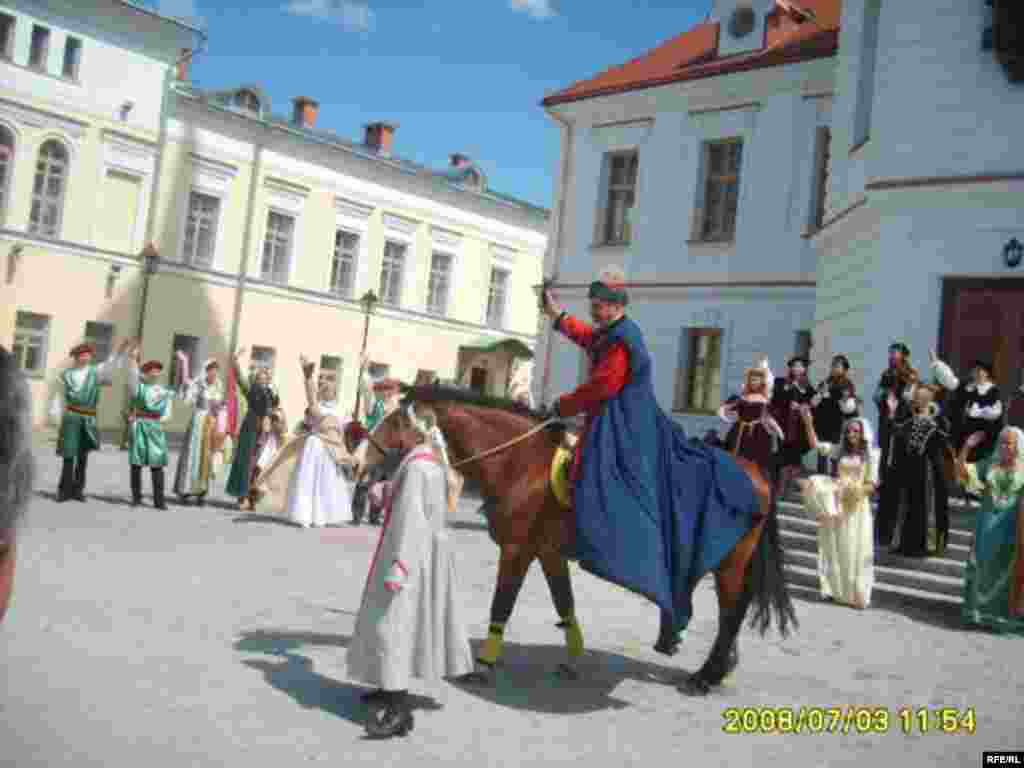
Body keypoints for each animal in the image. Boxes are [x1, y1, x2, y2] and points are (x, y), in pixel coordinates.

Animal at [362, 385, 798, 696]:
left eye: (397, 420)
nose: (366, 458)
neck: (522, 463)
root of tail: (757, 473)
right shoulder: (547, 553)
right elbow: (565, 604)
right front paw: (572, 658)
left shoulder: (517, 551)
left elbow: (502, 604)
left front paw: (484, 663)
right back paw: (718, 668)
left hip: (730, 563)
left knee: (731, 613)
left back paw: (705, 676)